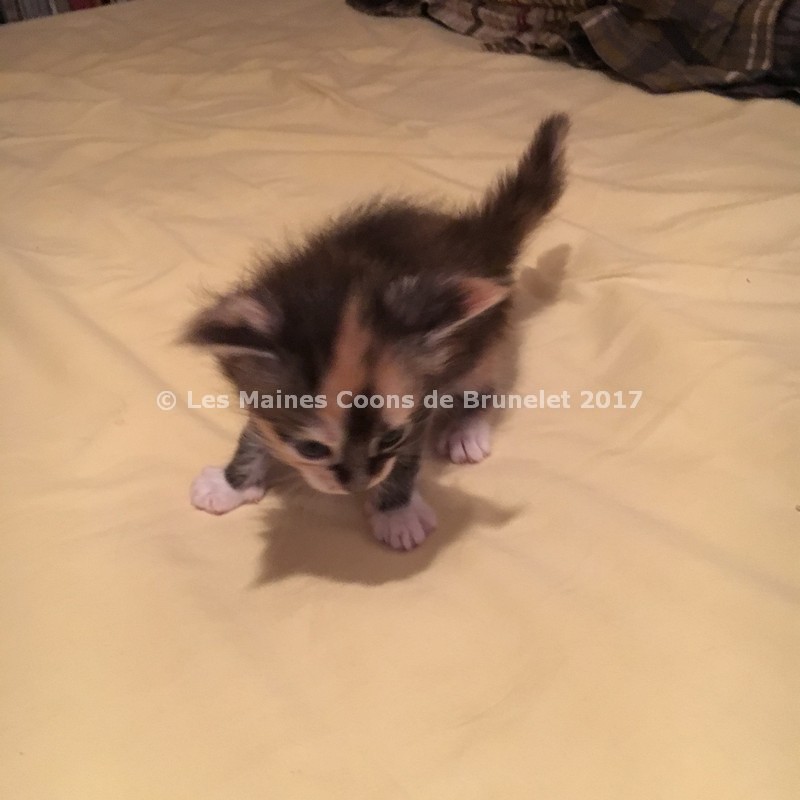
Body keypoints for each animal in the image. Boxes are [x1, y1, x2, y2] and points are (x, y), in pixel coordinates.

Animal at [182, 113, 569, 550]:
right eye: (311, 448)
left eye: (389, 440)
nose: (356, 485)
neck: (346, 284)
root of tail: (477, 237)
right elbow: (255, 429)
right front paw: (231, 482)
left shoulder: (421, 399)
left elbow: (408, 456)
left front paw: (396, 512)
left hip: (480, 338)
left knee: (484, 380)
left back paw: (464, 430)